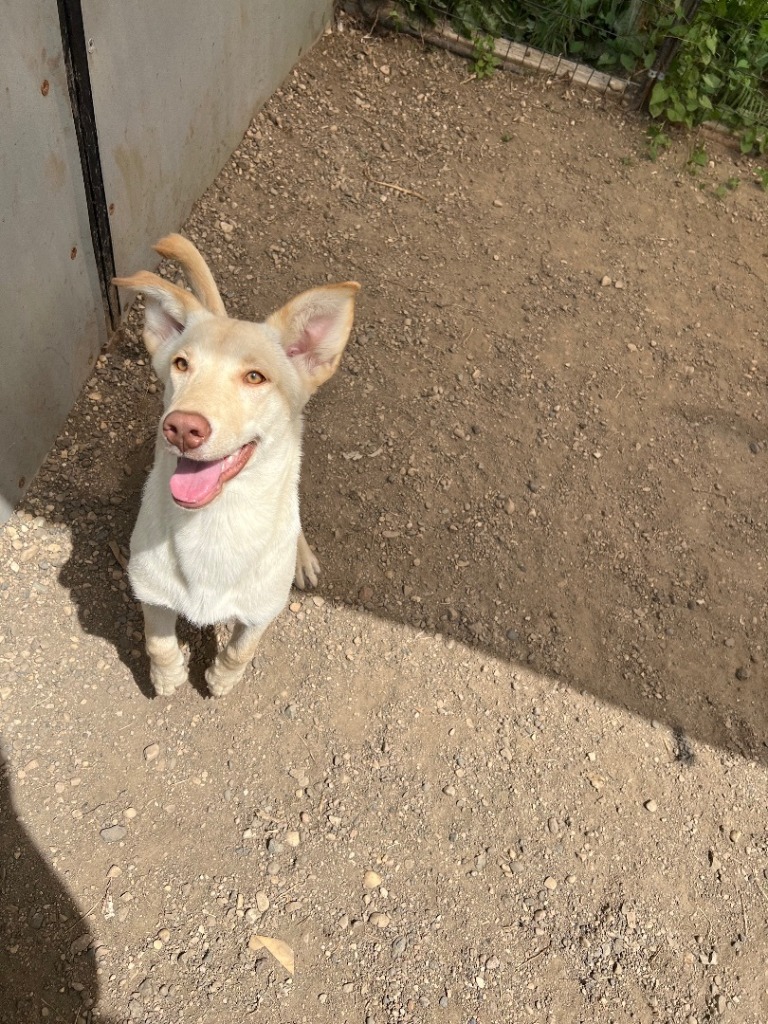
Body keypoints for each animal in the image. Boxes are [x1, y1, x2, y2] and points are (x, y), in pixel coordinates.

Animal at [115, 234, 360, 696]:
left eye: (254, 377)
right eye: (181, 364)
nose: (182, 427)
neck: (214, 525)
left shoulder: (261, 610)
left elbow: (241, 648)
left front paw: (220, 679)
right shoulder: (149, 591)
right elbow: (157, 641)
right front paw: (168, 676)